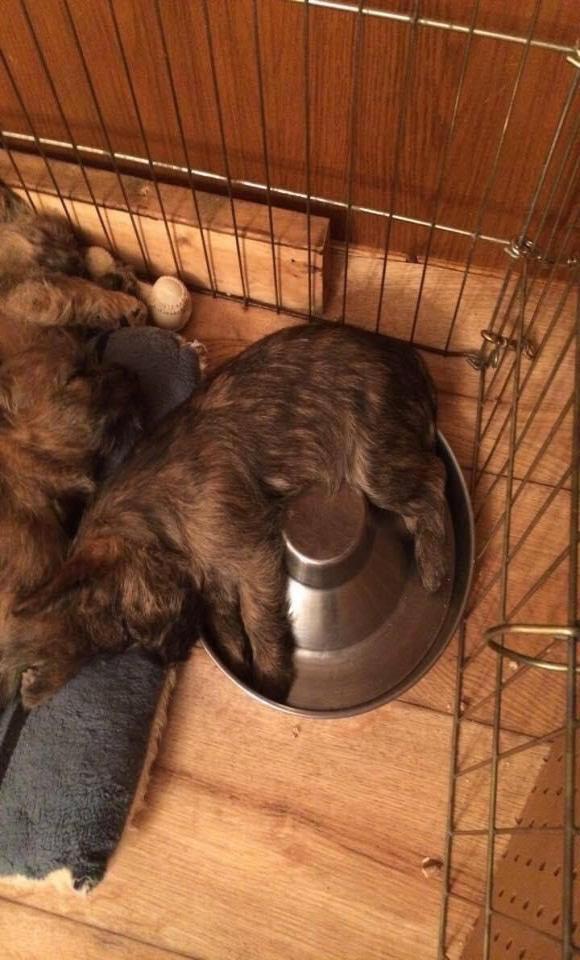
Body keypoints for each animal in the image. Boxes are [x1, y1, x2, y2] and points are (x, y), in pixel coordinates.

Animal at [10, 326, 448, 708]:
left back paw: (434, 563)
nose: (171, 658)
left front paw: (270, 674)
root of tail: (408, 356)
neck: (156, 515)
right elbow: (226, 622)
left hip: (373, 464)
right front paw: (239, 659)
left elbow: (259, 619)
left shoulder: (253, 556)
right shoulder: (216, 576)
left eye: (129, 629)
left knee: (434, 480)